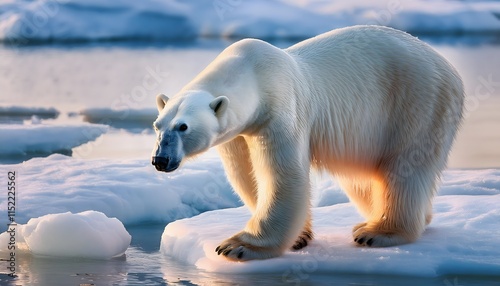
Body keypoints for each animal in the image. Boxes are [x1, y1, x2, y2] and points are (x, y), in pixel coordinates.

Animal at [150, 25, 462, 260]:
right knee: (362, 177)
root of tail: (450, 69)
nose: (160, 160)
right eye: (157, 125)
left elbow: (283, 175)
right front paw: (300, 237)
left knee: (404, 169)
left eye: (183, 127)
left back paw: (377, 232)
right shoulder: (238, 134)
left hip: (417, 102)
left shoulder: (279, 110)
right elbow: (246, 174)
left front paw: (238, 246)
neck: (251, 72)